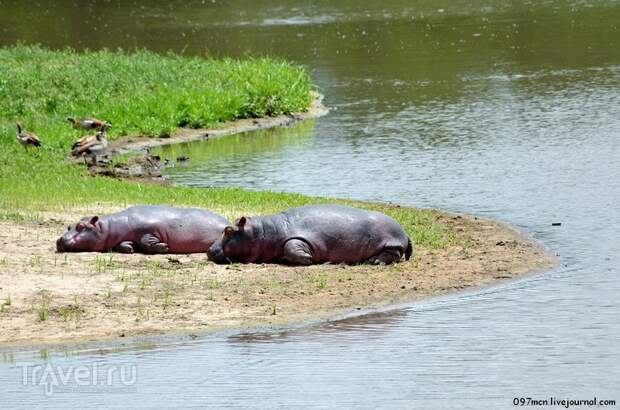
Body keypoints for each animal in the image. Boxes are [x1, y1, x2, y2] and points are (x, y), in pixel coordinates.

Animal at [56, 205, 228, 253]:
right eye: (68, 226)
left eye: (81, 226)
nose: (59, 239)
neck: (109, 226)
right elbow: (123, 245)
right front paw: (129, 247)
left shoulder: (149, 230)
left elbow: (146, 241)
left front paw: (163, 247)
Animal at [206, 205, 414, 266]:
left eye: (228, 230)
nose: (208, 250)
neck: (264, 231)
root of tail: (404, 232)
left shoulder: (301, 238)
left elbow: (291, 247)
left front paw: (309, 259)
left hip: (391, 243)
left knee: (394, 254)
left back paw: (374, 261)